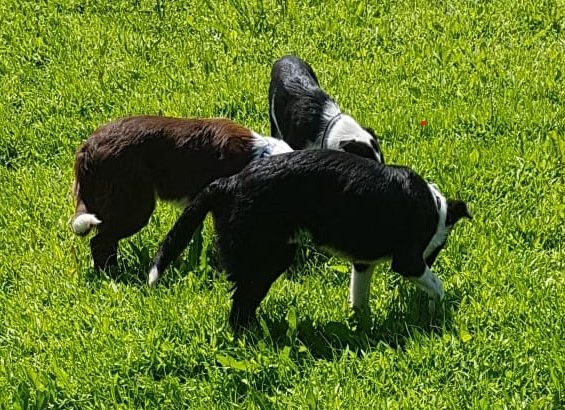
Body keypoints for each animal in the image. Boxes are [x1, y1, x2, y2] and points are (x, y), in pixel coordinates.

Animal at [148, 149, 470, 328]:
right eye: (437, 251)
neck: (434, 207)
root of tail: (228, 183)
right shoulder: (408, 261)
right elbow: (438, 285)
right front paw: (436, 310)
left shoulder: (362, 263)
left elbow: (359, 298)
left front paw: (362, 326)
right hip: (269, 259)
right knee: (240, 307)